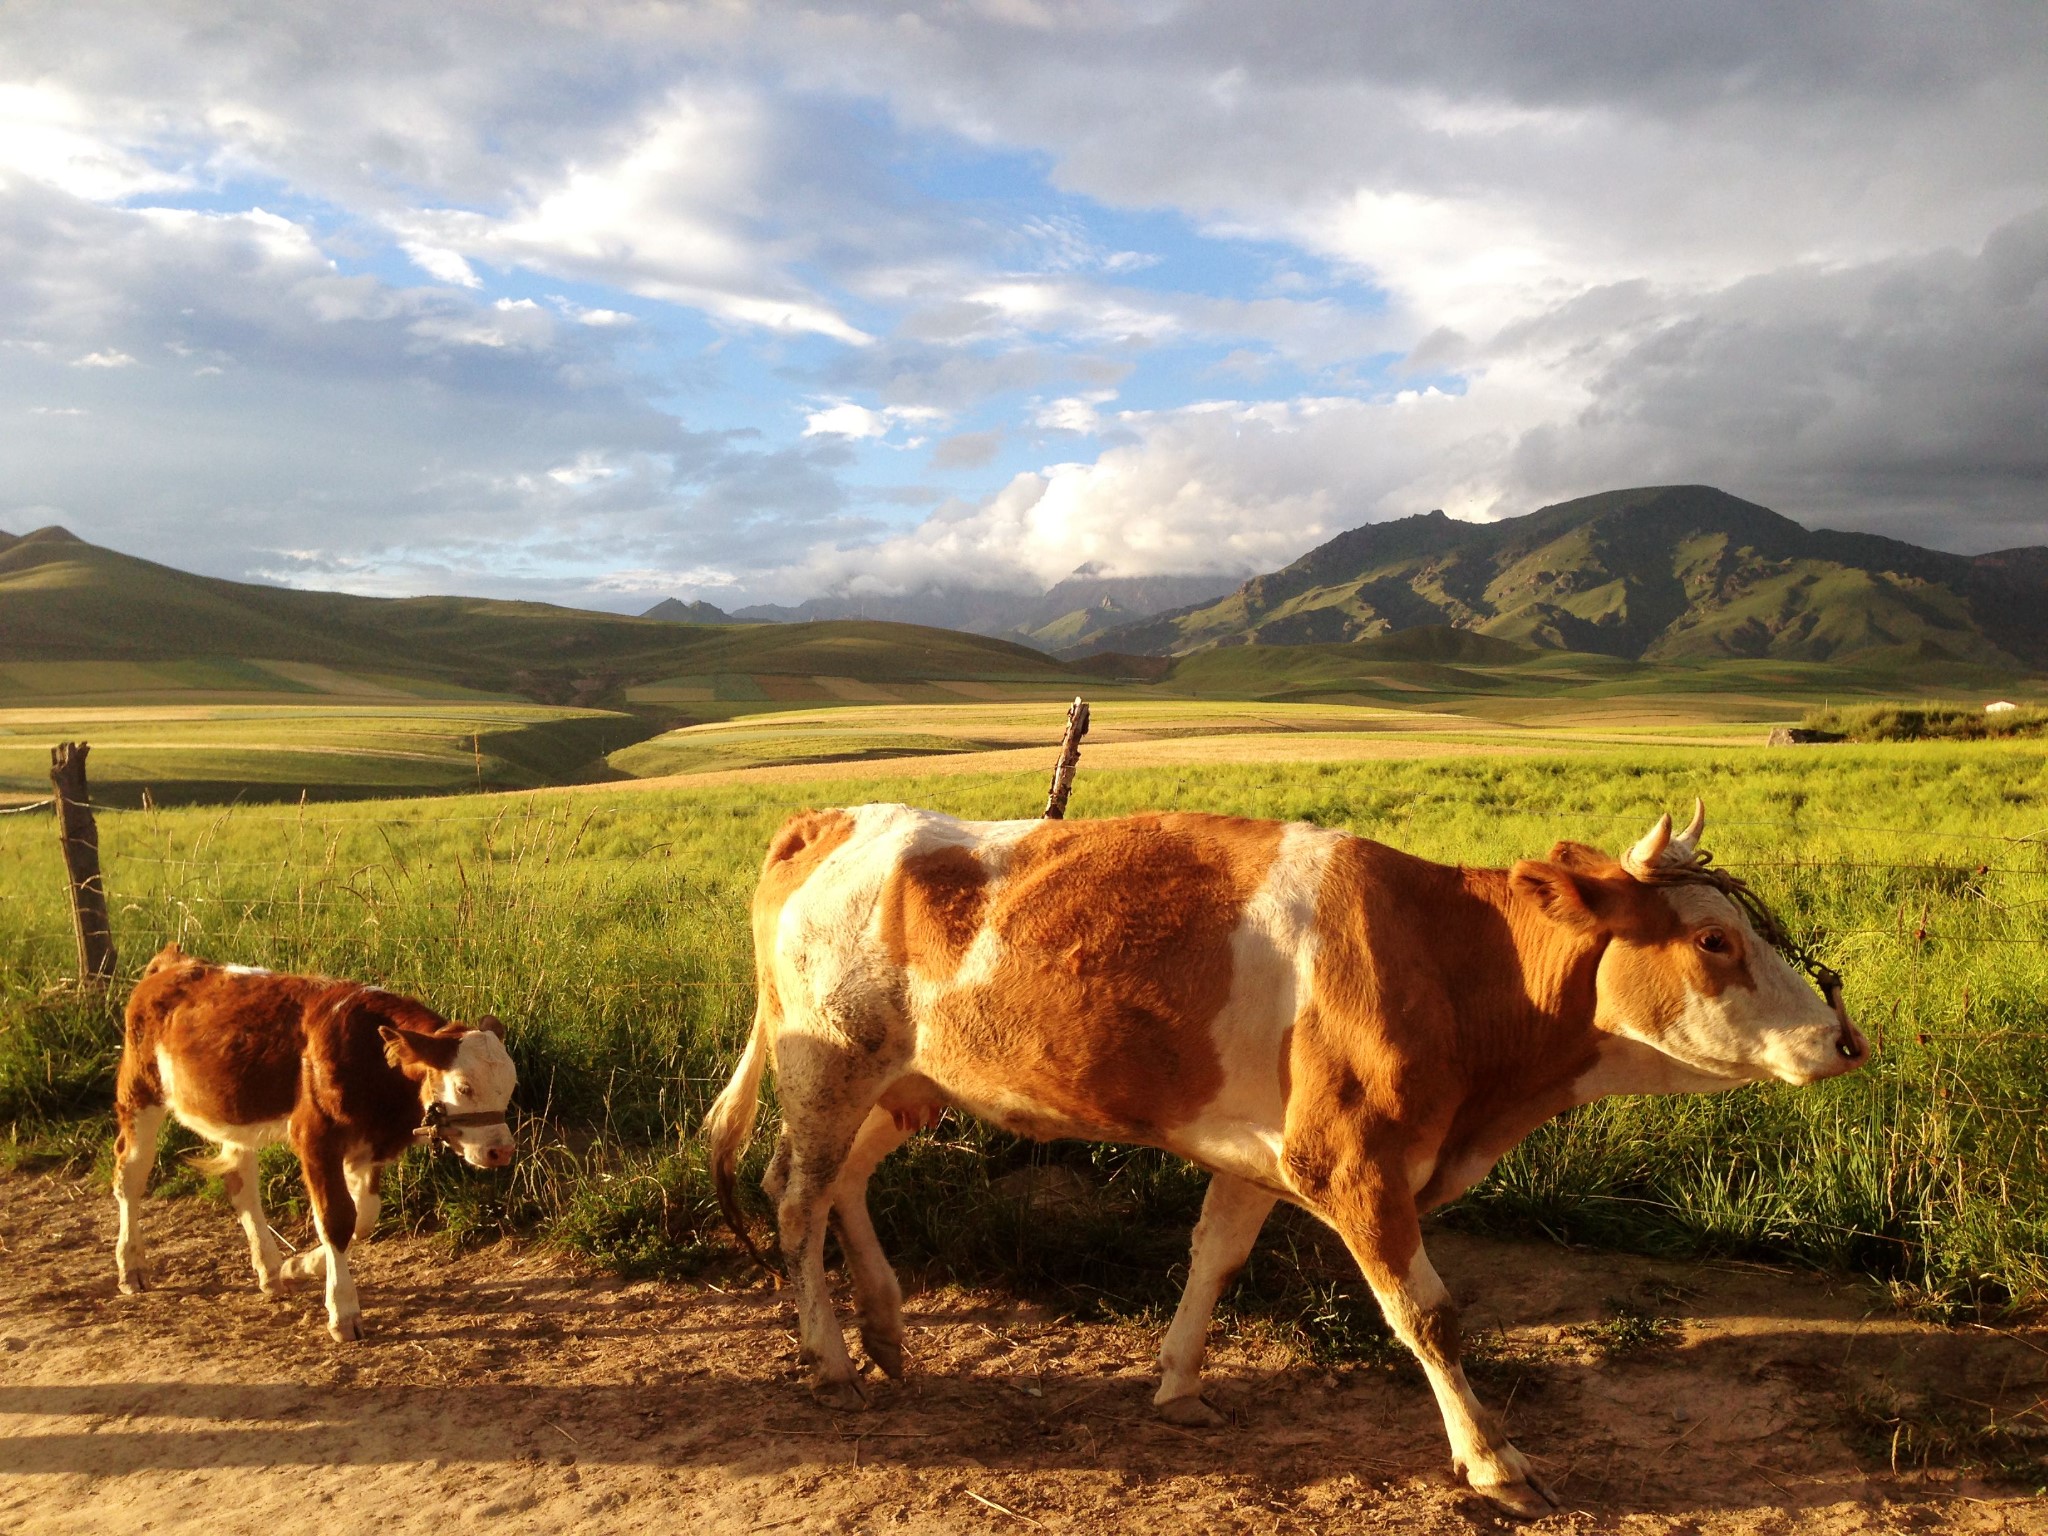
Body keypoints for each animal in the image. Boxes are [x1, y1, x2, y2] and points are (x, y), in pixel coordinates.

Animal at [112, 946, 516, 1343]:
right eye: (464, 1087)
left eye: (510, 1087)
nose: (501, 1151)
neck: (371, 1060)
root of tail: (175, 962)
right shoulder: (315, 1137)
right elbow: (336, 1218)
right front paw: (343, 1311)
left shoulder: (369, 1146)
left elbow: (363, 1216)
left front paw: (299, 1266)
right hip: (139, 1092)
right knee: (130, 1175)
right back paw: (132, 1267)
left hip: (234, 1114)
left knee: (242, 1185)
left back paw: (271, 1270)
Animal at [708, 798, 1875, 1523]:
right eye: (1715, 941)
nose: (1842, 1039)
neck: (1447, 960)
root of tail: (838, 816)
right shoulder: (1351, 1161)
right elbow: (1428, 1315)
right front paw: (1494, 1462)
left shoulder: (1260, 1152)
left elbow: (1214, 1259)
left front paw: (1178, 1383)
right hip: (829, 1060)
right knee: (795, 1192)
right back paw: (829, 1354)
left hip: (908, 1082)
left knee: (845, 1181)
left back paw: (886, 1327)